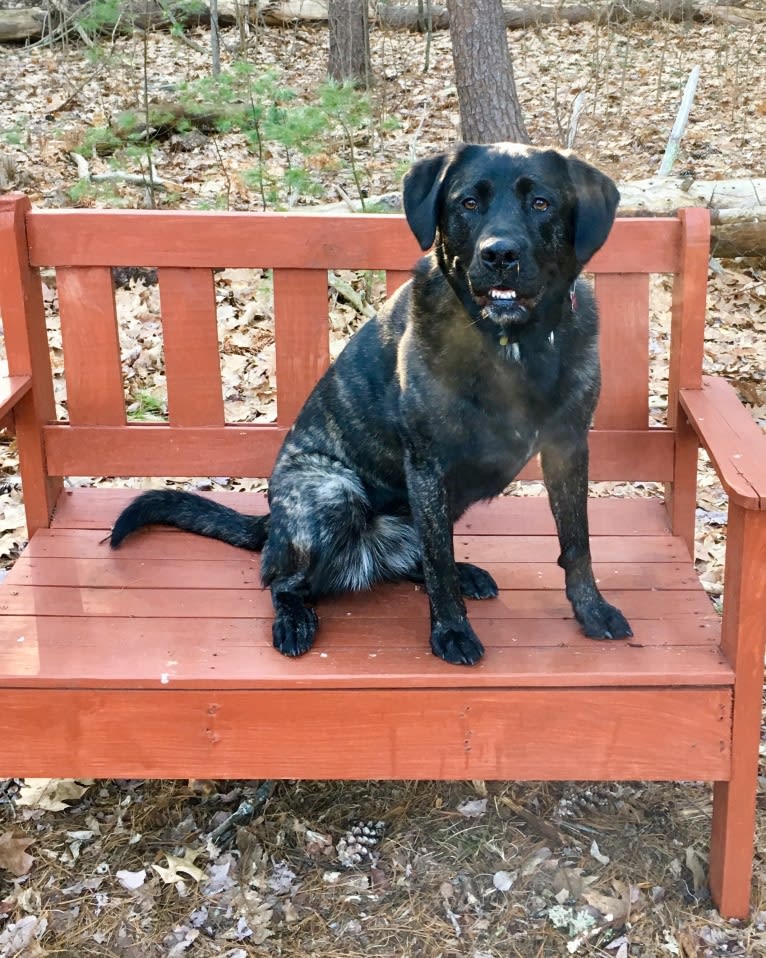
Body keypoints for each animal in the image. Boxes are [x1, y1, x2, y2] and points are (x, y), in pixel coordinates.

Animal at [111, 144, 632, 668]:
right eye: (468, 202)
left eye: (541, 203)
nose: (499, 254)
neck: (515, 344)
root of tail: (272, 522)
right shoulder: (427, 465)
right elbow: (439, 560)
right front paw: (451, 631)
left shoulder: (568, 448)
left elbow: (576, 542)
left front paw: (592, 611)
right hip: (332, 493)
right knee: (283, 580)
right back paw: (294, 618)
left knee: (413, 556)